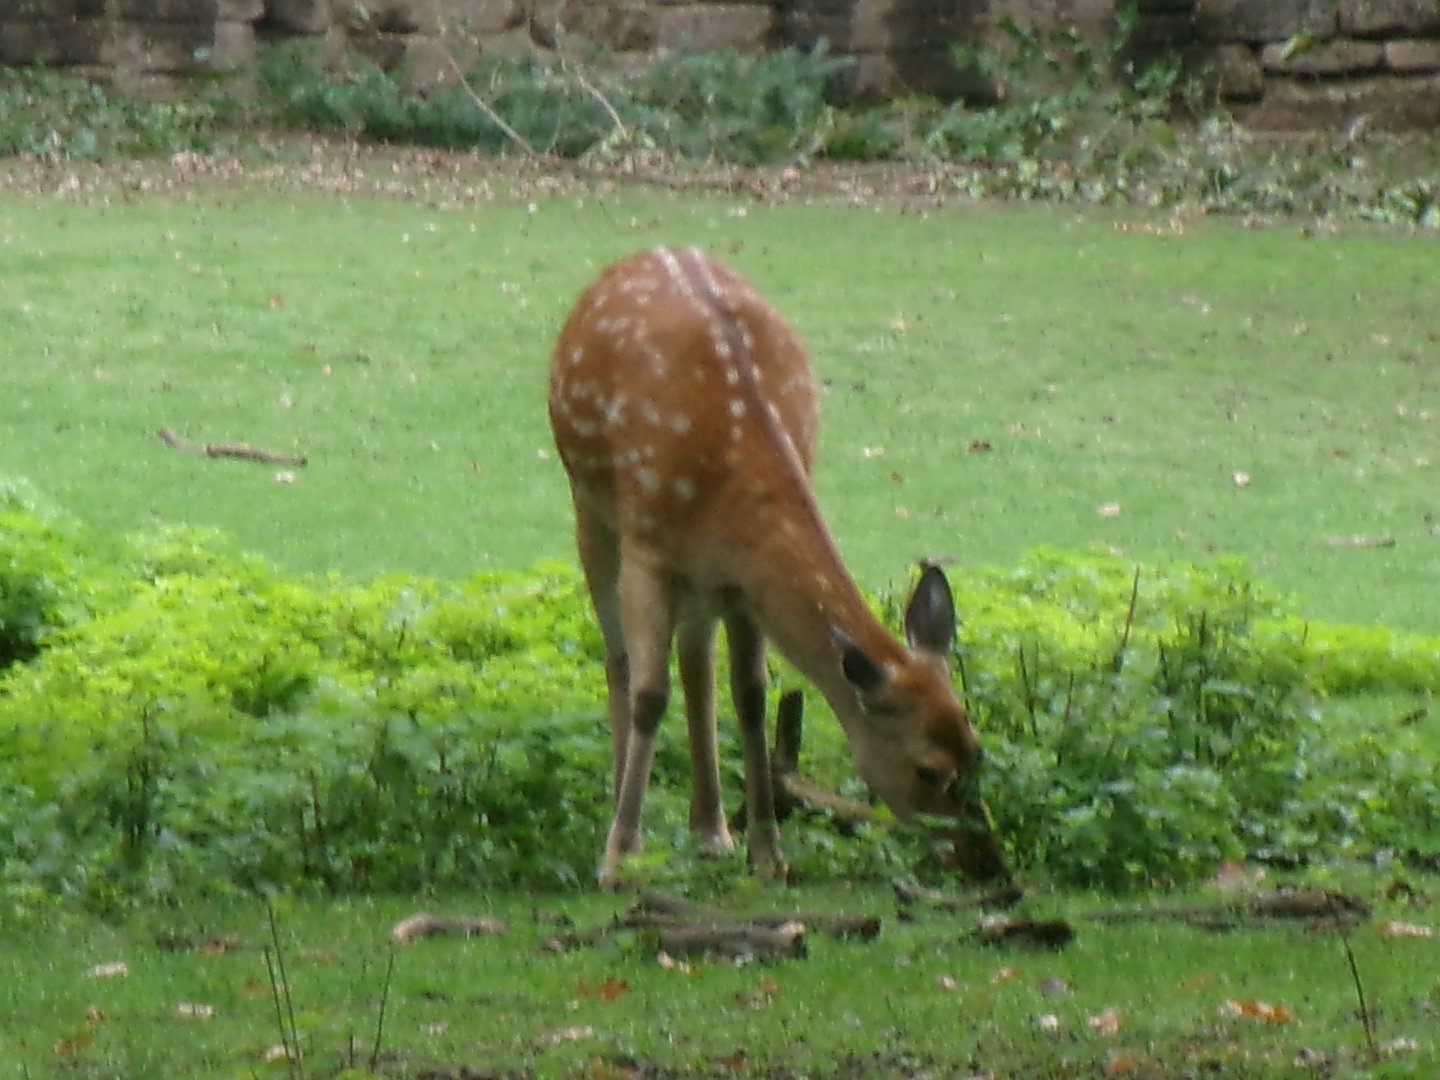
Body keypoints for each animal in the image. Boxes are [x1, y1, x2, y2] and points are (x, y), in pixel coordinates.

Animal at [547, 245, 1000, 888]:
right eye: (928, 770)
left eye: (976, 745)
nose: (988, 865)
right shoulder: (649, 550)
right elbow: (649, 694)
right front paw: (618, 859)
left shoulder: (742, 583)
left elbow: (752, 694)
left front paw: (767, 853)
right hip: (590, 502)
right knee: (620, 659)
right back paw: (626, 822)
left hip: (702, 580)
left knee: (696, 661)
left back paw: (712, 830)